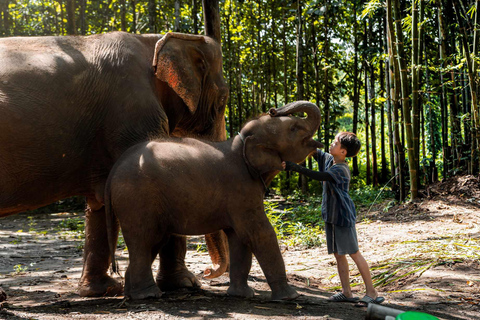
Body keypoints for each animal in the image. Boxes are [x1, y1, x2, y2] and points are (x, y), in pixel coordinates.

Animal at [0, 31, 230, 298]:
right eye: (223, 100)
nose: (208, 273)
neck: (151, 41)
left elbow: (100, 202)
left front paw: (103, 290)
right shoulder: (135, 115)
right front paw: (184, 284)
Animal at [105, 100, 322, 300]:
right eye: (293, 128)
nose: (273, 109)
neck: (240, 143)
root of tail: (113, 171)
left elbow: (239, 238)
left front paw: (241, 295)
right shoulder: (241, 188)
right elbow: (259, 233)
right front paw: (291, 297)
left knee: (153, 240)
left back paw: (131, 294)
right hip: (136, 200)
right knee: (143, 240)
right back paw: (149, 295)